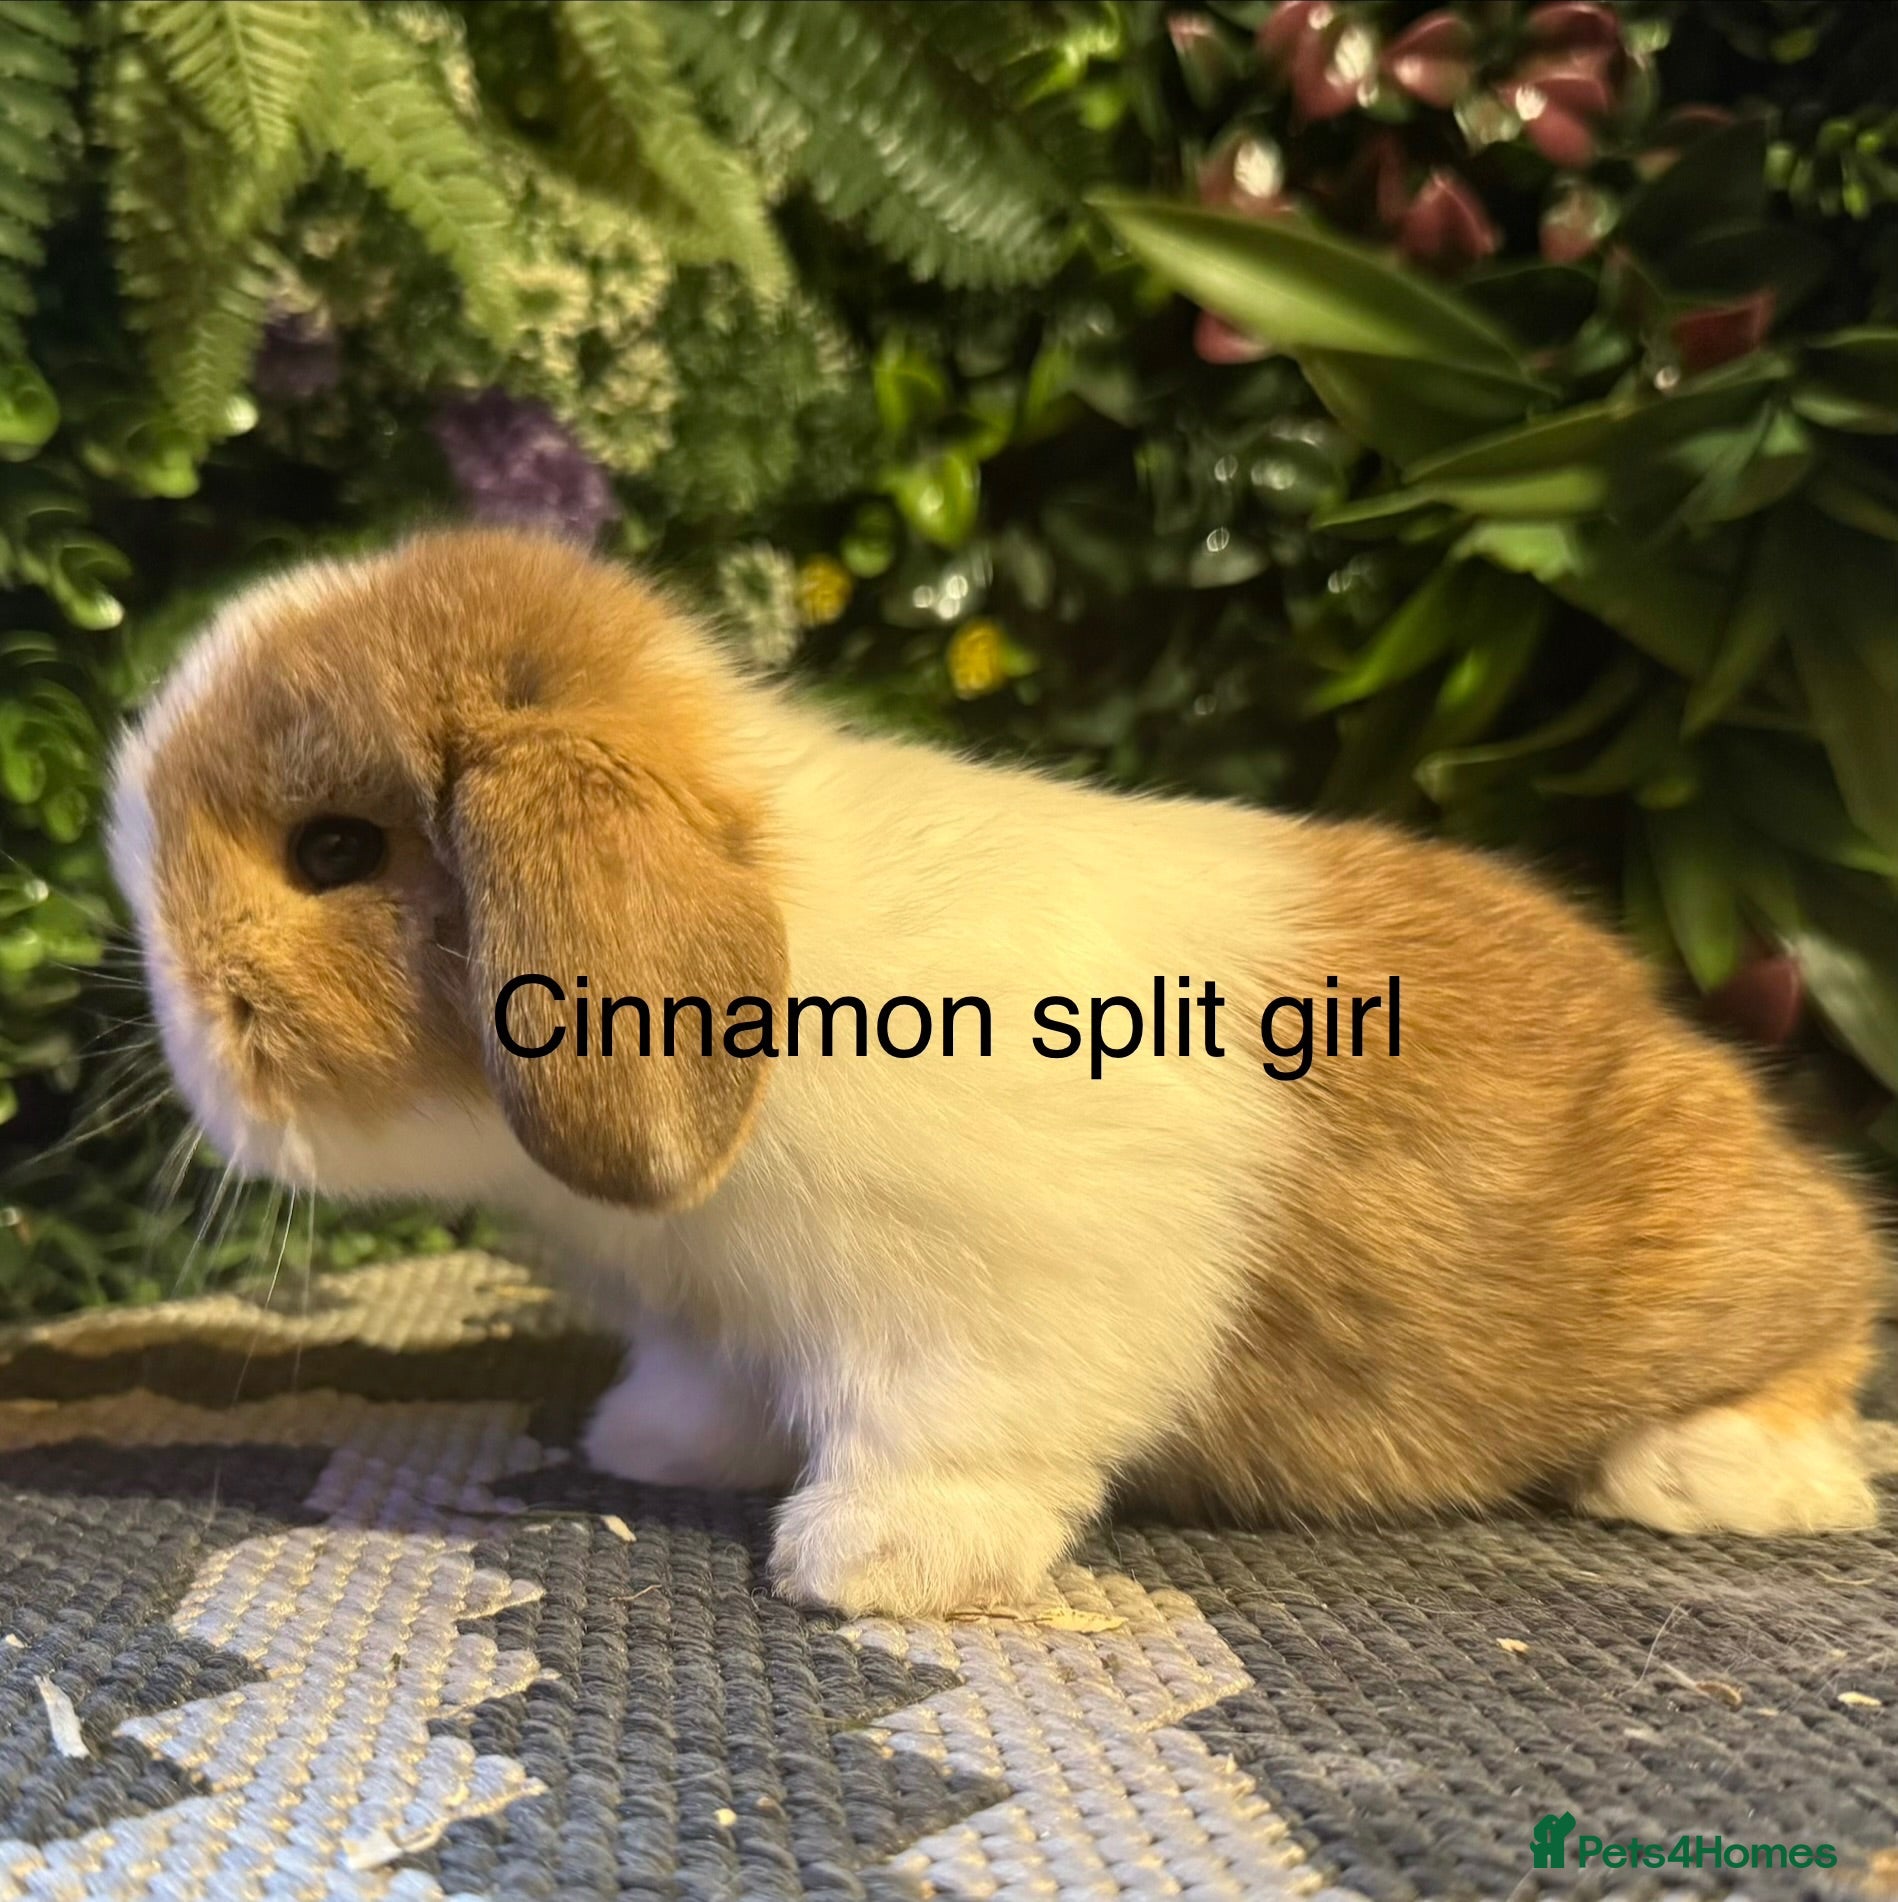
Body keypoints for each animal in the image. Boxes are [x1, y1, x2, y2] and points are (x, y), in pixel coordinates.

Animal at [109, 525, 1896, 1617]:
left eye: (332, 850)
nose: (181, 1029)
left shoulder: (991, 1317)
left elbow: (955, 1434)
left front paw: (870, 1566)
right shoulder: (714, 1319)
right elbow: (705, 1386)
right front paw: (651, 1450)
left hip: (1722, 1260)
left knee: (1832, 1293)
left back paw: (1708, 1473)